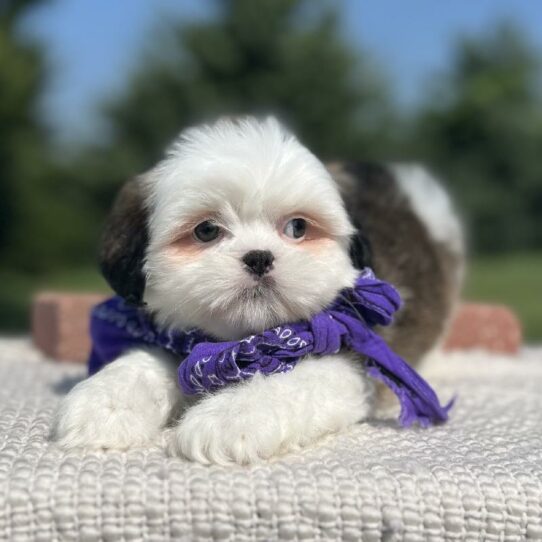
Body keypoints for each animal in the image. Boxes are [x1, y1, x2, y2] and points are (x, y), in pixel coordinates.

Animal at [53, 117, 466, 466]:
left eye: (298, 227)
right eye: (206, 231)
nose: (259, 257)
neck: (243, 343)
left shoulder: (351, 349)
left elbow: (293, 379)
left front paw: (231, 416)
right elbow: (144, 360)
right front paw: (107, 402)